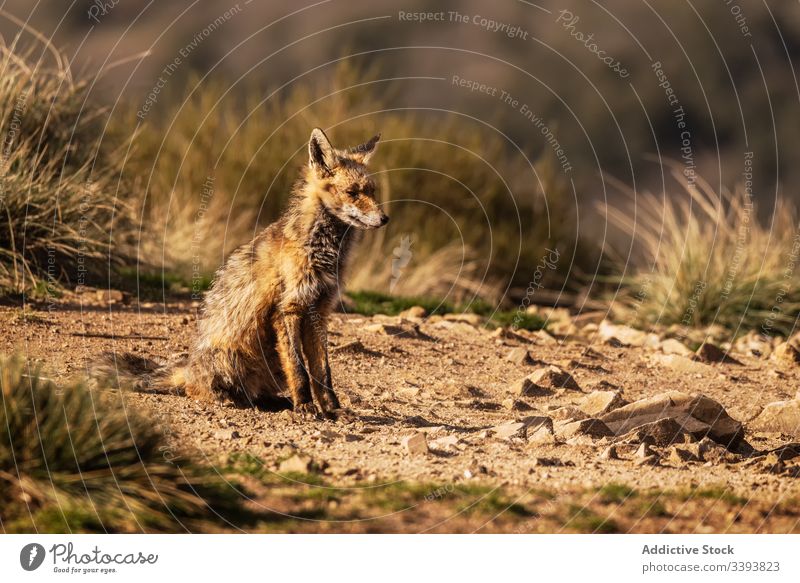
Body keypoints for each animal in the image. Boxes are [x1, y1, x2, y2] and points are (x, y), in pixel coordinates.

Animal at [97, 129, 388, 418]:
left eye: (372, 191)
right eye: (352, 193)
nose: (385, 219)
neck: (323, 252)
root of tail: (189, 367)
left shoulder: (320, 309)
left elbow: (322, 371)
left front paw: (332, 408)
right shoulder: (288, 309)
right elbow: (299, 369)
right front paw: (306, 406)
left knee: (255, 393)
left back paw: (276, 402)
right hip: (234, 358)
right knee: (202, 390)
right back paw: (228, 398)